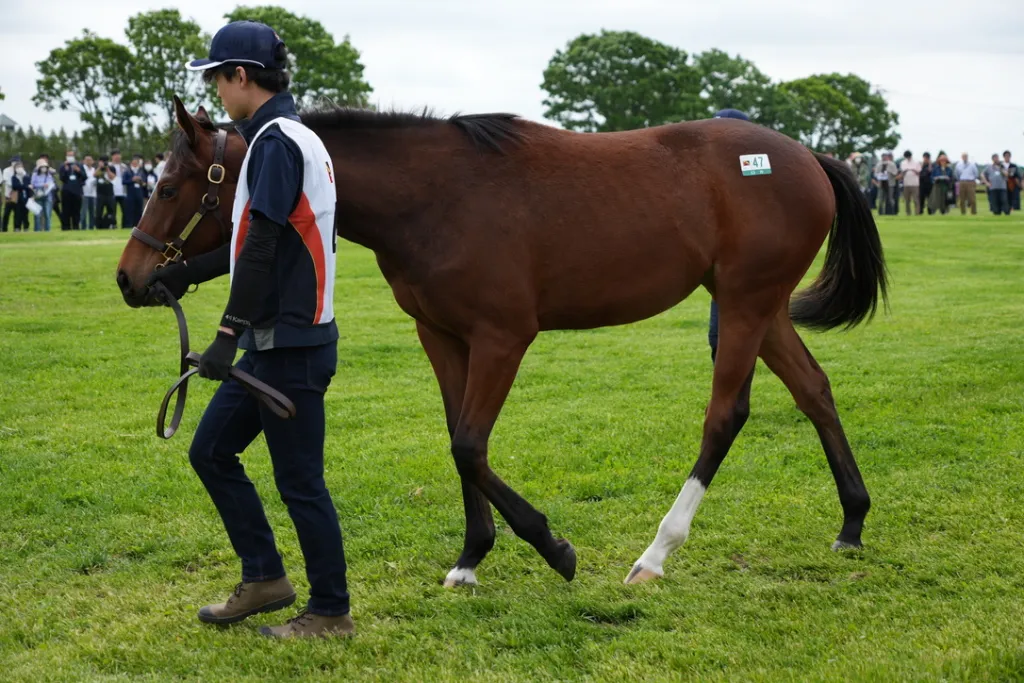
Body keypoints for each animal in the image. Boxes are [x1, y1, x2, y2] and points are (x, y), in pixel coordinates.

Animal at [116, 96, 887, 587]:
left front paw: (553, 547)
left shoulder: (502, 337)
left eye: (170, 185)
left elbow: (468, 444)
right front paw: (471, 557)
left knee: (725, 415)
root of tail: (808, 156)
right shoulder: (441, 335)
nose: (131, 276)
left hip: (746, 304)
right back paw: (852, 520)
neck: (440, 195)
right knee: (815, 389)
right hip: (760, 307)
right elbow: (459, 440)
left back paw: (656, 553)